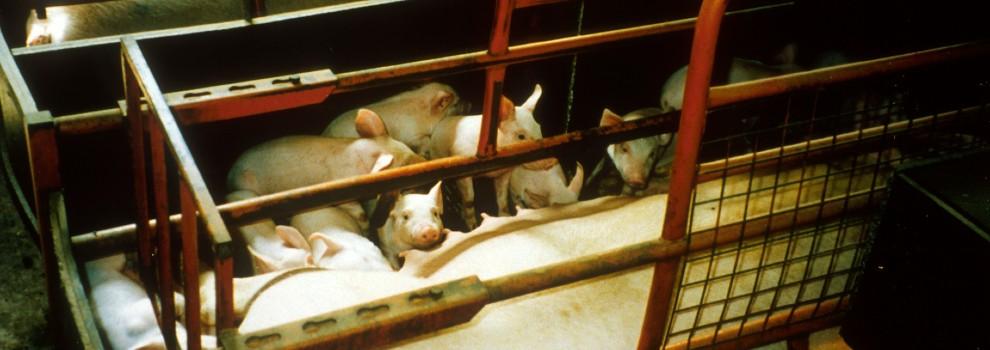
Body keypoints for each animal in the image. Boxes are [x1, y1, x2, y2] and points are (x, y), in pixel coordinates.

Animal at [227, 108, 424, 274]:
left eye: (407, 148)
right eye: (403, 164)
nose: (425, 160)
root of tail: (230, 174)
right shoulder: (345, 196)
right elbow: (360, 215)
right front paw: (366, 227)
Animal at [322, 82, 468, 157]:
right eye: (456, 103)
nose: (470, 103)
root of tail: (325, 132)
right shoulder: (411, 135)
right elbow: (426, 140)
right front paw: (423, 153)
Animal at [430, 84, 560, 227]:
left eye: (539, 128)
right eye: (521, 136)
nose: (552, 160)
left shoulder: (505, 173)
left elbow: (502, 198)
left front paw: (506, 217)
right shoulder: (462, 171)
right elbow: (469, 199)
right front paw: (473, 226)